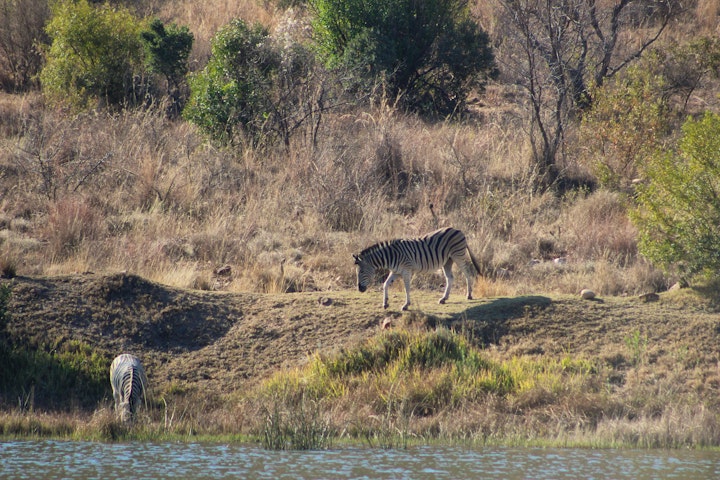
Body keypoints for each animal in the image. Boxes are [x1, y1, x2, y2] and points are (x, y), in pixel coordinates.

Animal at [352, 226, 480, 310]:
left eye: (361, 271)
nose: (359, 289)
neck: (391, 256)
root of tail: (458, 230)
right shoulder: (395, 272)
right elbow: (385, 284)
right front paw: (385, 303)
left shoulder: (406, 270)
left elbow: (407, 288)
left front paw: (406, 305)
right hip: (447, 261)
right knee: (450, 278)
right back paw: (444, 298)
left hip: (458, 255)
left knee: (467, 273)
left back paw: (469, 295)